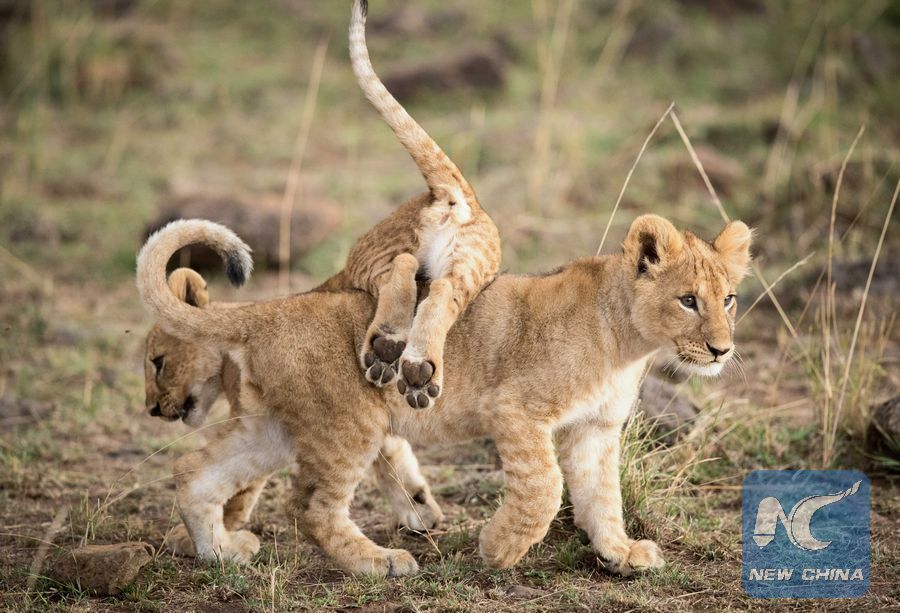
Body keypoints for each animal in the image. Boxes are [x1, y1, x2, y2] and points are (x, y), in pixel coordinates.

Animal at [144, 268, 443, 551]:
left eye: (158, 362)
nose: (152, 409)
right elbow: (393, 454)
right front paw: (420, 505)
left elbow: (244, 490)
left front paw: (220, 525)